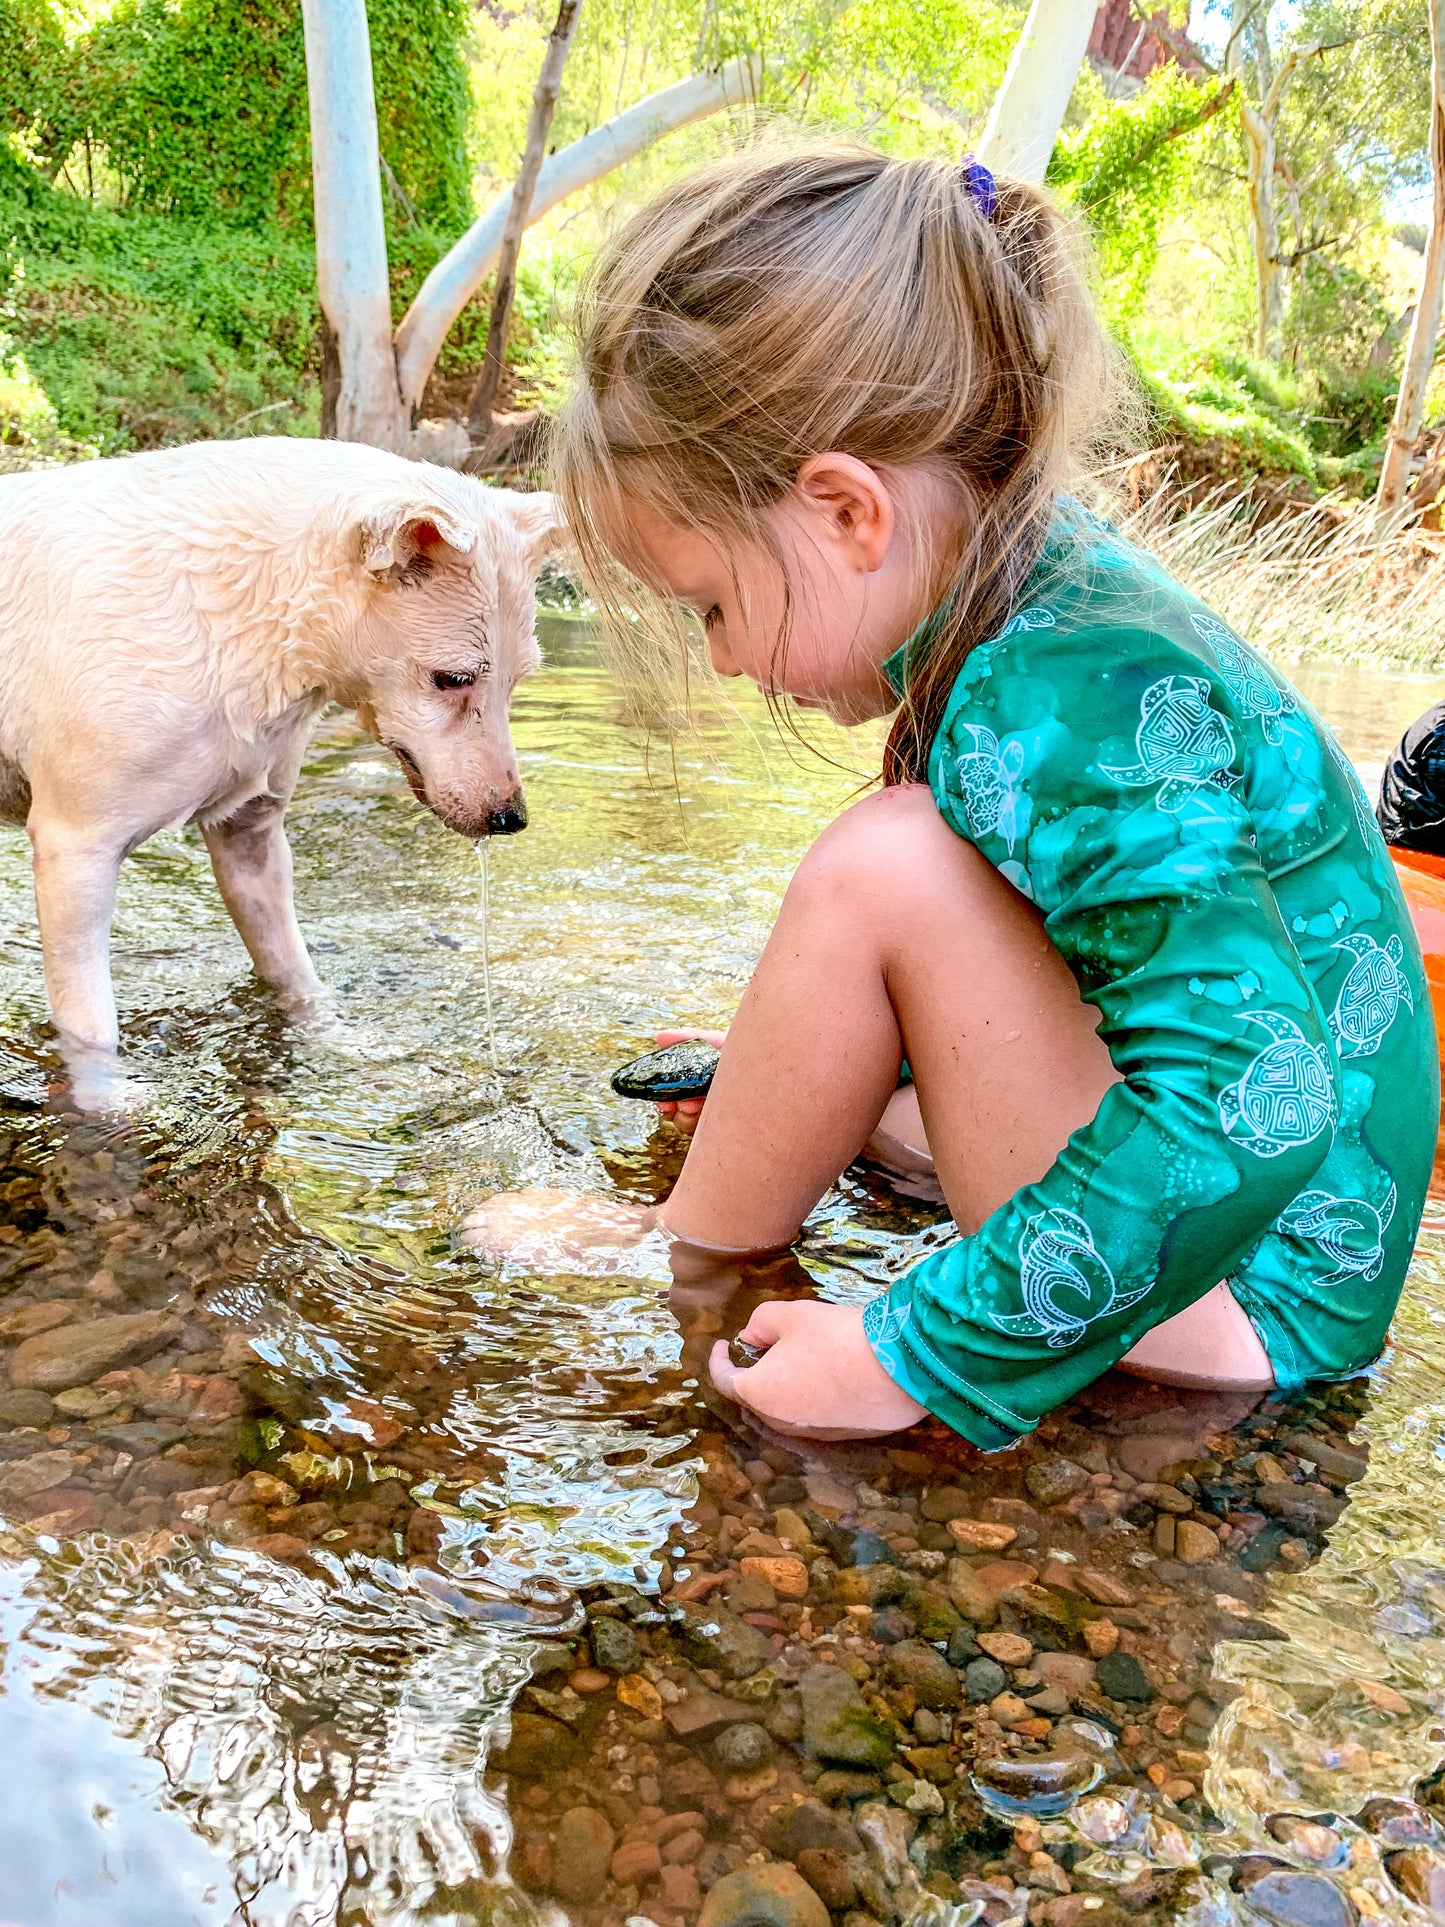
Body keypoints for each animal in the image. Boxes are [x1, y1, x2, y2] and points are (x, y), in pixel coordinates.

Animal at [0, 435, 558, 1102]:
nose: (510, 818)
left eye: (518, 680)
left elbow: (292, 969)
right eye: (452, 678)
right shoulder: (75, 849)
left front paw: (334, 1038)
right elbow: (90, 1026)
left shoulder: (252, 834)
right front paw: (104, 1101)